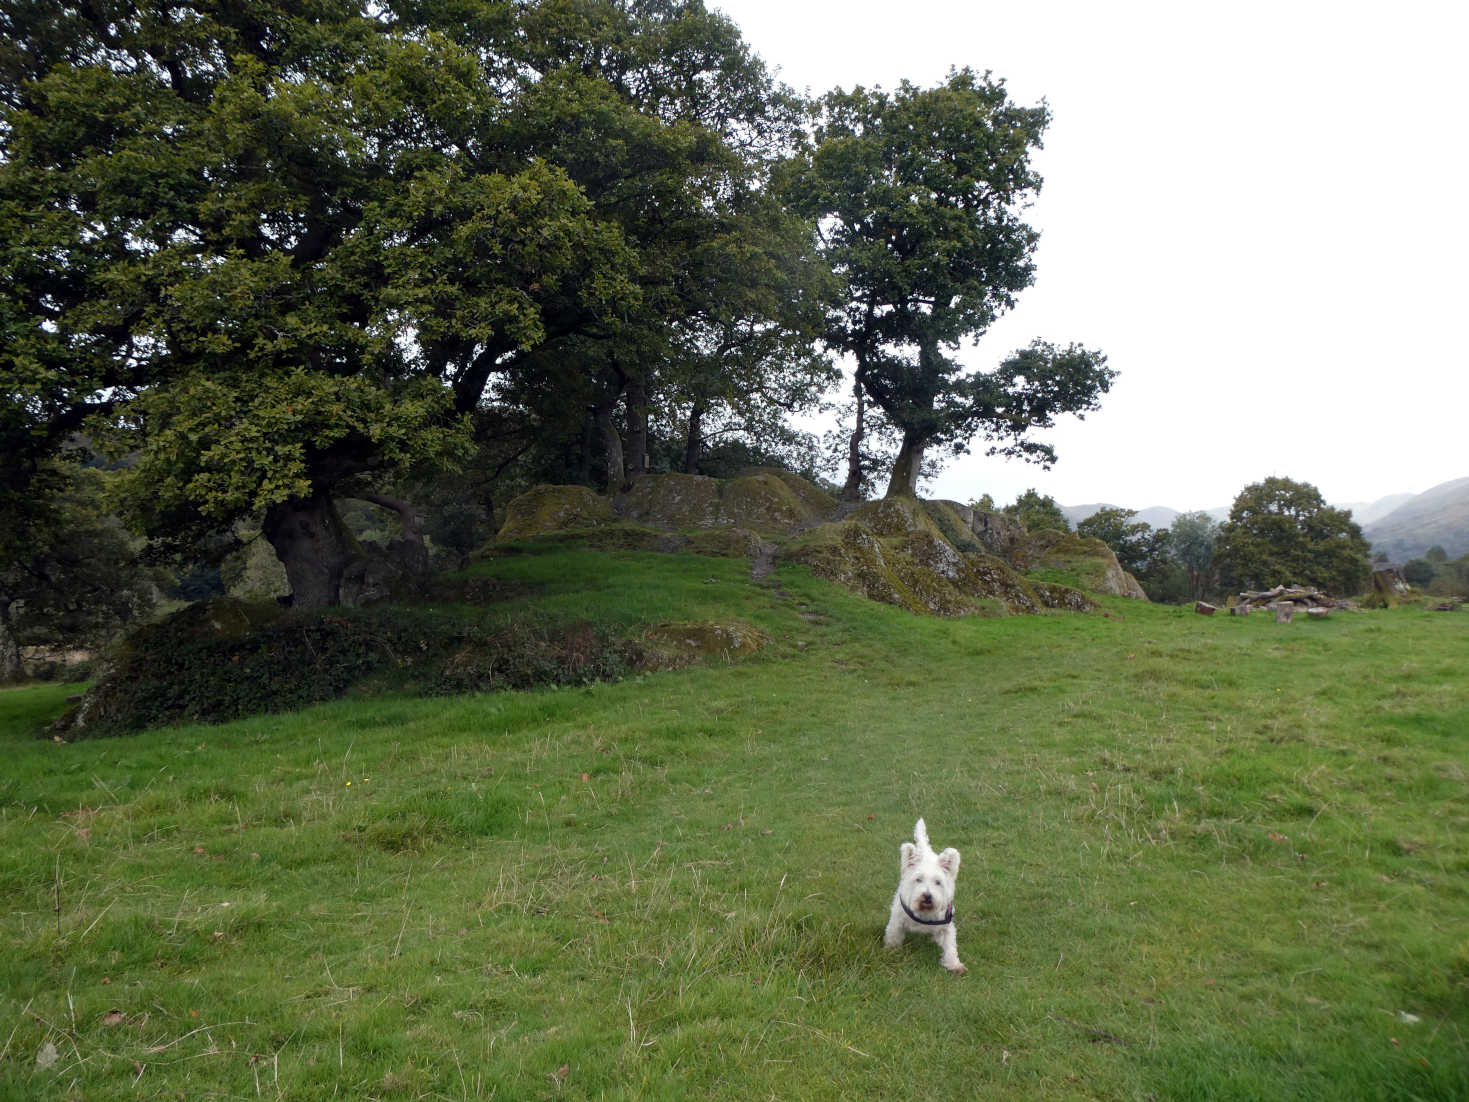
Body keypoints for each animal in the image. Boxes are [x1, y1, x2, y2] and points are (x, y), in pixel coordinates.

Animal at [881, 822, 963, 975]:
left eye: (938, 882)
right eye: (918, 879)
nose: (927, 896)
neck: (924, 912)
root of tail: (926, 853)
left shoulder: (946, 925)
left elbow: (950, 945)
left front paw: (954, 964)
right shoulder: (897, 921)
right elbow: (893, 936)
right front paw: (891, 951)